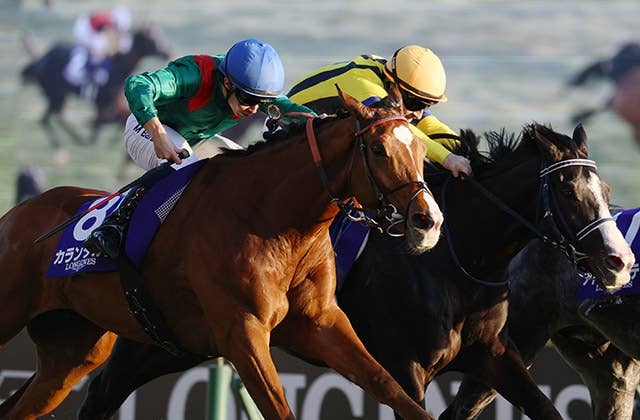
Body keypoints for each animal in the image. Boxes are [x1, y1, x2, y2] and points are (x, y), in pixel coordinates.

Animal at [0, 88, 443, 420]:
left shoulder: (321, 322)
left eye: (422, 152)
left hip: (70, 355)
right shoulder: (242, 332)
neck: (272, 218)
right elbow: (279, 409)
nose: (429, 221)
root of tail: (17, 213)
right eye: (378, 149)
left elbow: (390, 387)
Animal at [21, 27, 171, 148]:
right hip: (56, 94)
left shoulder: (107, 103)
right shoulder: (103, 101)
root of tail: (39, 61)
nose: (167, 51)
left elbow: (107, 120)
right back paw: (72, 140)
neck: (118, 67)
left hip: (56, 96)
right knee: (49, 118)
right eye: (152, 38)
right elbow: (103, 120)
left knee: (49, 118)